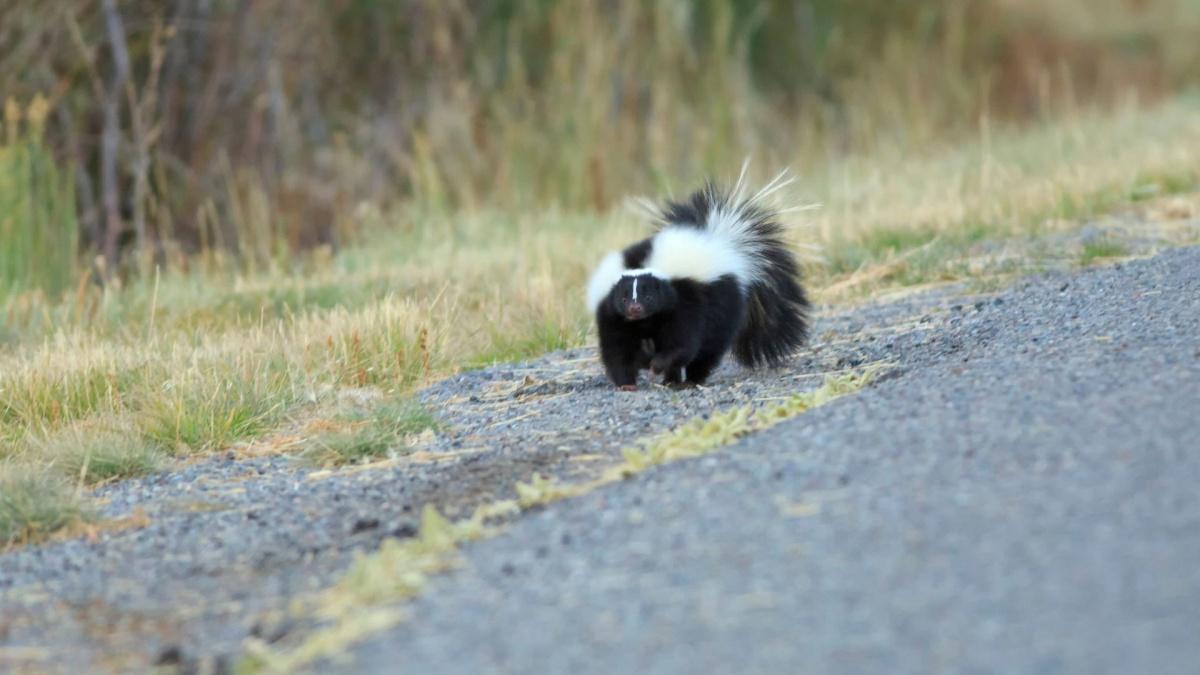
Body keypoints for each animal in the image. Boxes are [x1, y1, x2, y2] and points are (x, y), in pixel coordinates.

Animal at [585, 170, 811, 389]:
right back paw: (672, 380)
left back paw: (691, 379)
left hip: (723, 304)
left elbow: (683, 344)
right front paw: (627, 383)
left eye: (649, 297)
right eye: (623, 299)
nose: (635, 309)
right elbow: (617, 351)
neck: (646, 321)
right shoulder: (612, 315)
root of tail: (722, 242)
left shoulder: (685, 301)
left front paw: (657, 365)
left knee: (709, 349)